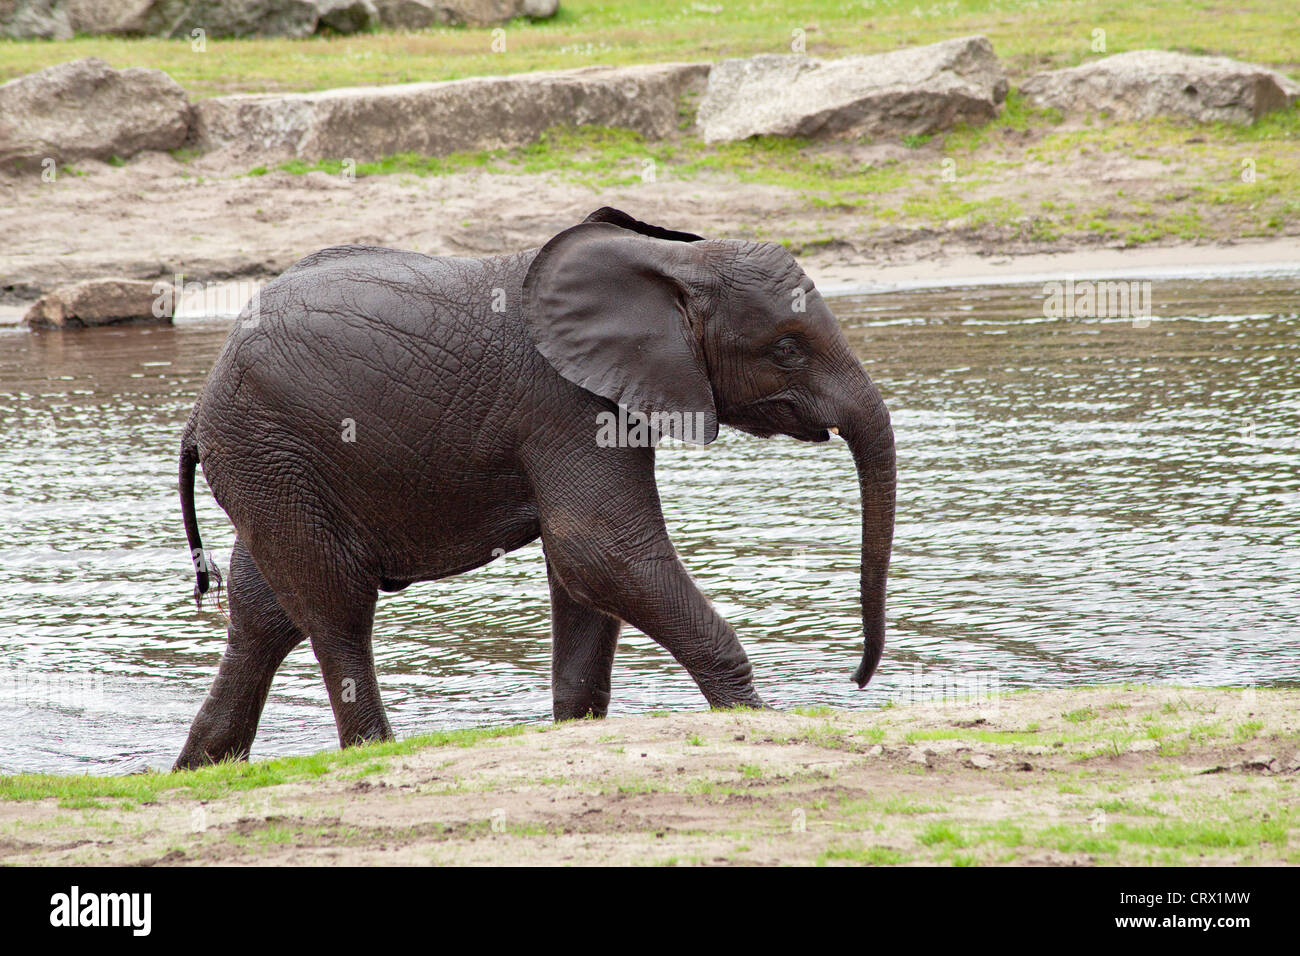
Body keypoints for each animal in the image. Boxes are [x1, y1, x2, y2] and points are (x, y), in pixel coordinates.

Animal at [172, 208, 894, 770]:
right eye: (787, 349)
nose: (857, 681)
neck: (672, 260)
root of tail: (199, 408)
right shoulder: (564, 403)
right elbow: (602, 551)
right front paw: (752, 715)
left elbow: (583, 578)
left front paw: (576, 728)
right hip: (271, 450)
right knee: (336, 608)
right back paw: (372, 751)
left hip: (271, 464)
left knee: (264, 615)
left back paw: (198, 770)